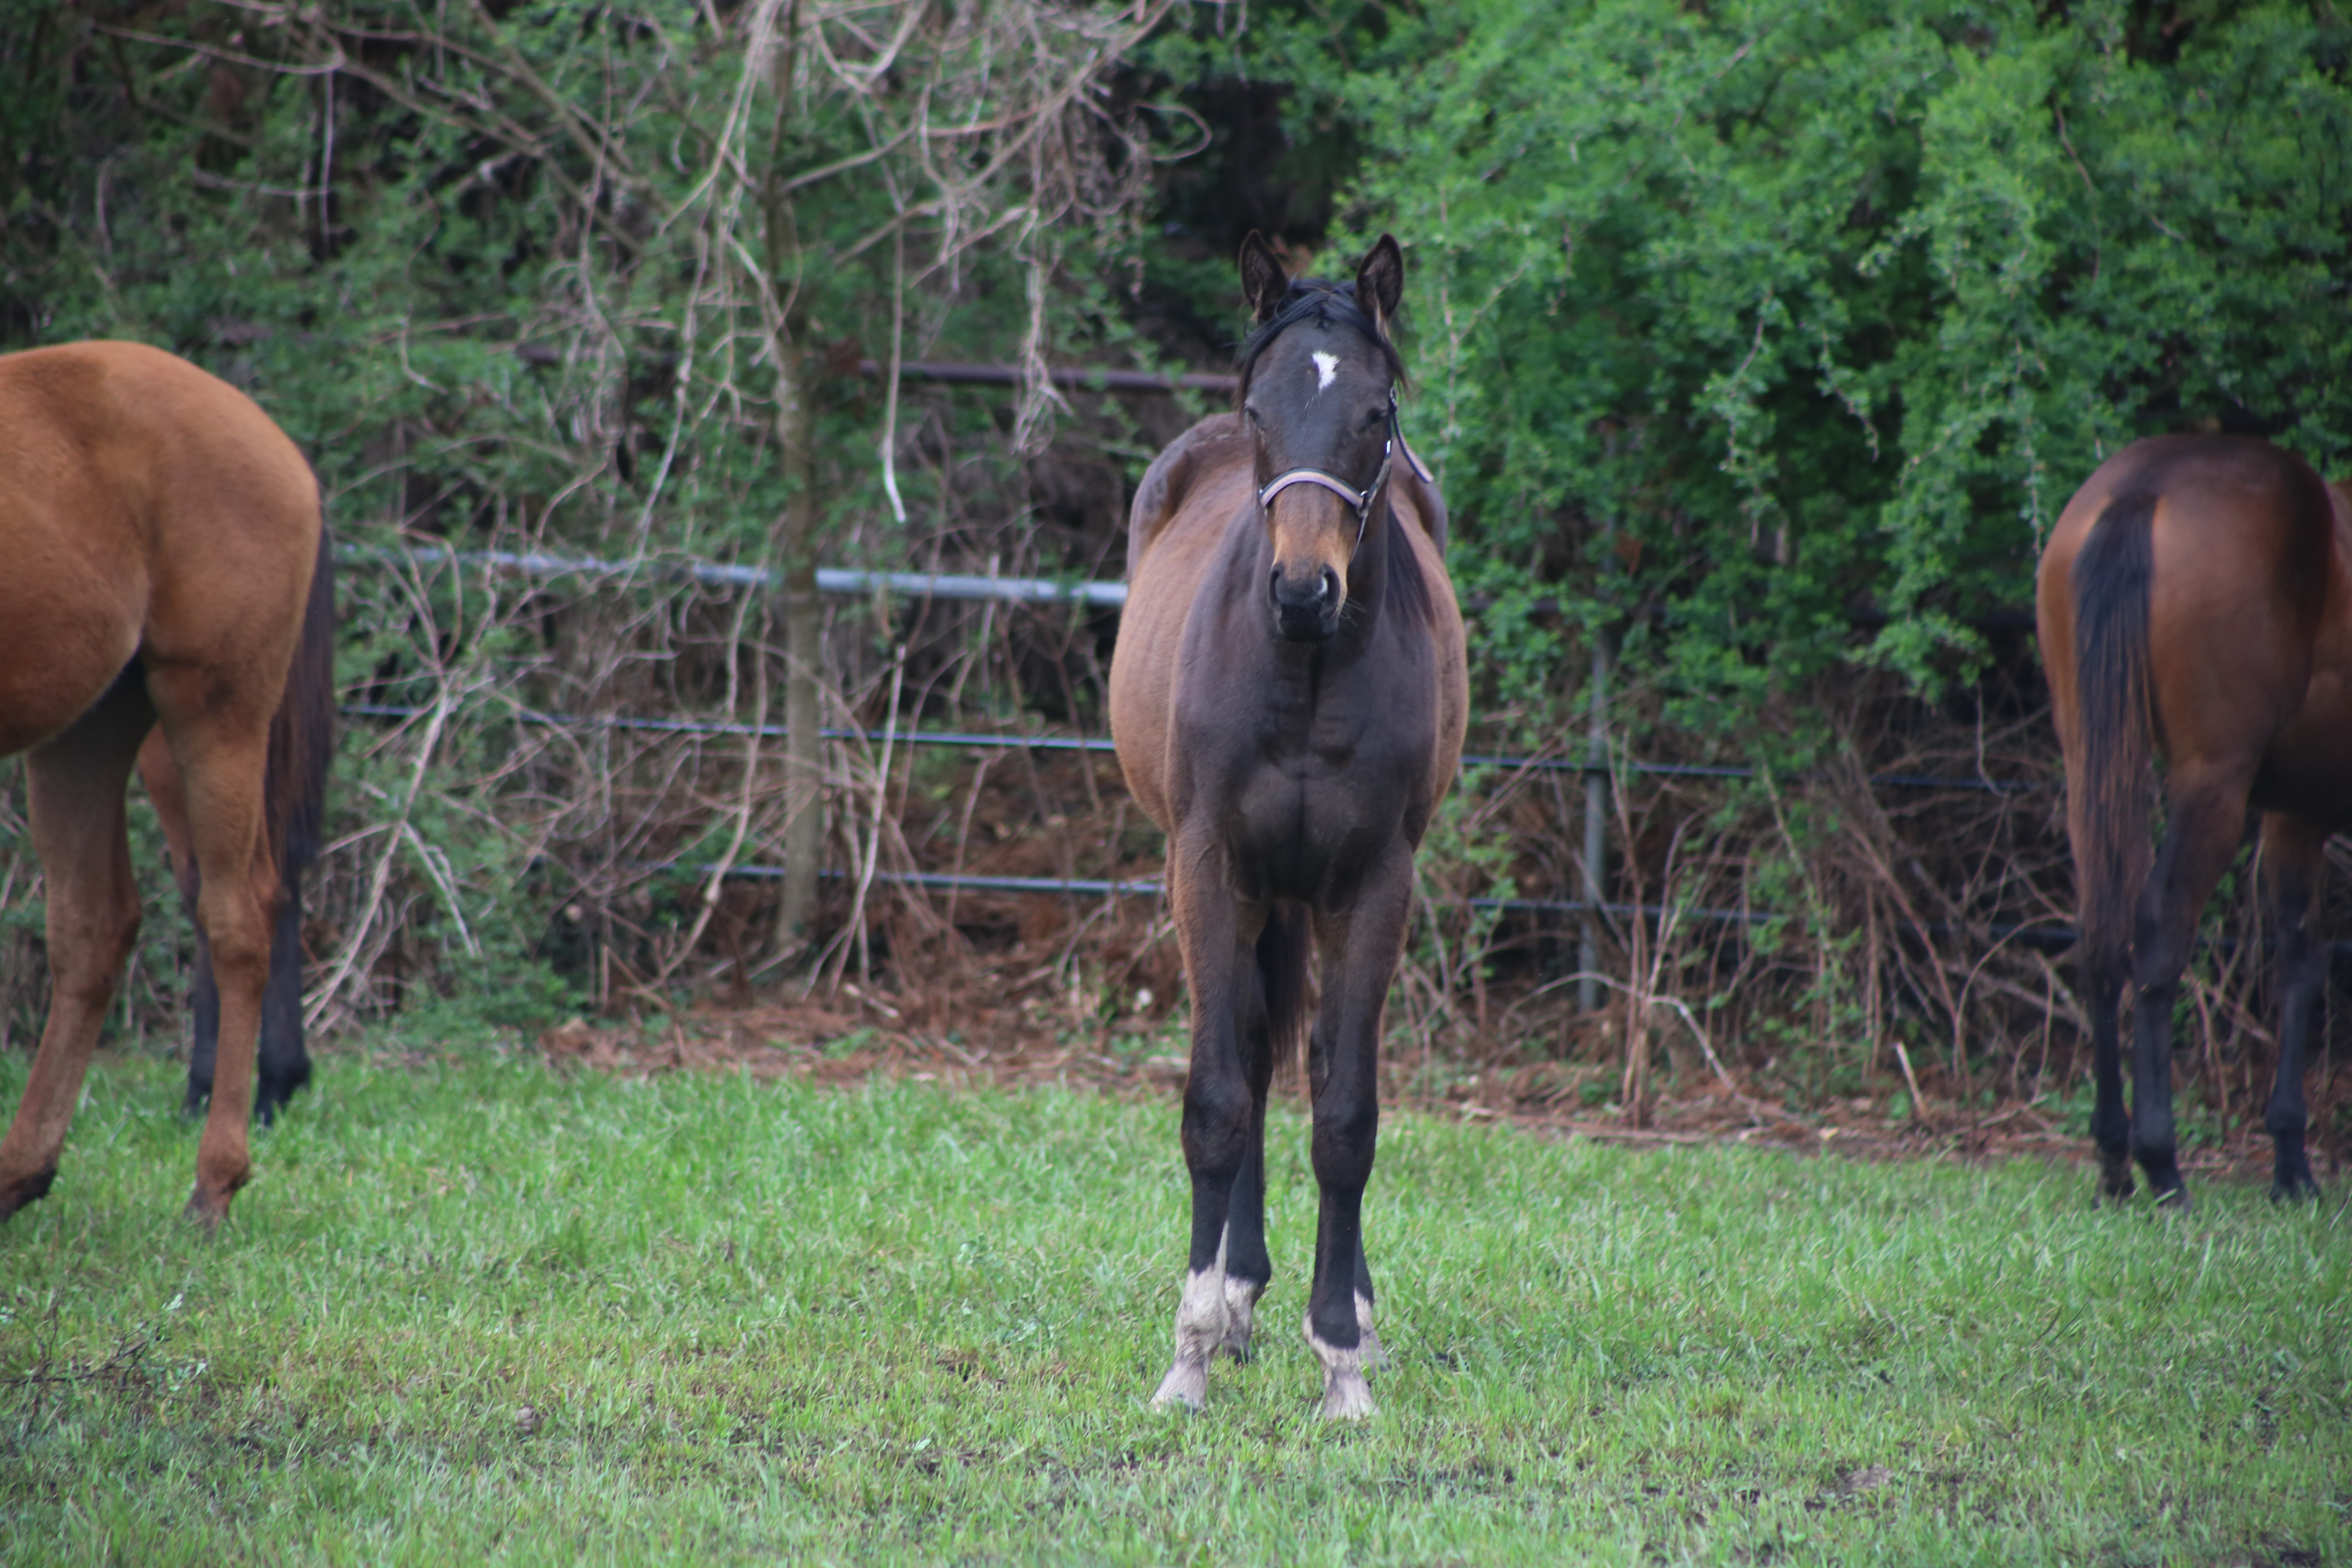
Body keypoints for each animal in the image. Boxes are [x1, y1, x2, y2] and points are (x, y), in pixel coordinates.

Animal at [0, 339, 332, 1232]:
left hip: (209, 715)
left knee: (237, 914)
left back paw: (215, 1177)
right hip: (88, 732)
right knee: (95, 927)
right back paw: (21, 1174)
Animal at [1110, 236, 1458, 1420]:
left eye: (1377, 412)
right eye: (1260, 409)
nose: (1303, 590)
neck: (1304, 670)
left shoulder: (1373, 883)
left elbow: (1346, 1114)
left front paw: (1341, 1352)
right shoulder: (1210, 866)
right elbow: (1219, 1096)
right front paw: (1189, 1348)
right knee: (1257, 1054)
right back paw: (1233, 1296)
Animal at [2032, 435, 2342, 1213]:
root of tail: (2150, 482)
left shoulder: (2294, 815)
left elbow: (2300, 958)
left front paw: (2290, 1159)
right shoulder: (2303, 814)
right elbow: (2304, 963)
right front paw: (2293, 1165)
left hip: (2090, 751)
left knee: (2102, 928)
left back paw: (2115, 1159)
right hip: (2212, 784)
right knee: (2158, 933)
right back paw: (2161, 1163)